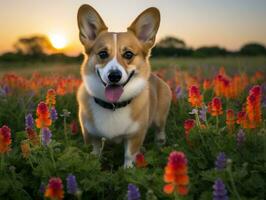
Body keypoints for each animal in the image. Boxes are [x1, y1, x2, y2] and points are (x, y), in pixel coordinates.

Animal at [77, 4, 172, 167]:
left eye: (128, 54)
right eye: (102, 54)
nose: (114, 76)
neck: (113, 106)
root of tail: (156, 77)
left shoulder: (135, 135)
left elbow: (129, 155)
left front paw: (127, 169)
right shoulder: (92, 135)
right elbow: (96, 151)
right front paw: (94, 163)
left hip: (160, 118)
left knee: (160, 131)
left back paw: (159, 144)